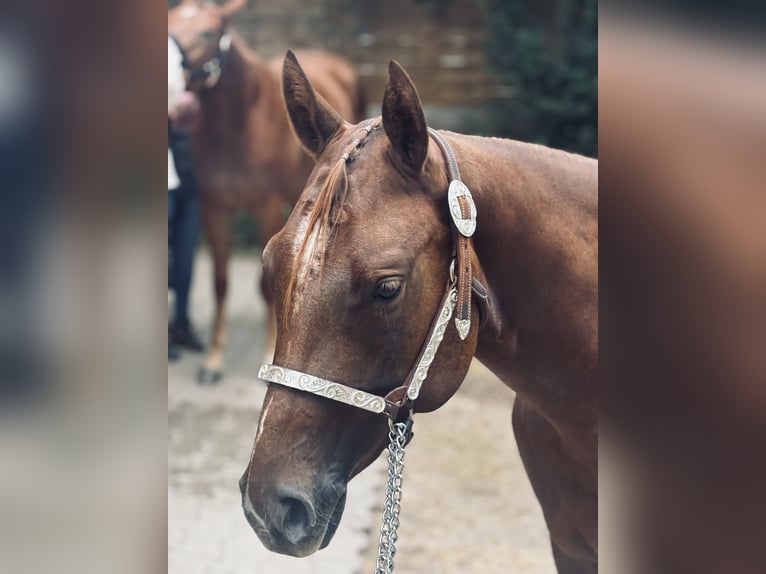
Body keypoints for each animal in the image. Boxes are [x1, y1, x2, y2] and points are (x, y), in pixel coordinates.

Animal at [168, 0, 366, 381]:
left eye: (208, 33)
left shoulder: (267, 206)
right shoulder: (213, 207)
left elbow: (265, 284)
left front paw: (268, 349)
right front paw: (214, 359)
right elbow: (220, 281)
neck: (238, 123)